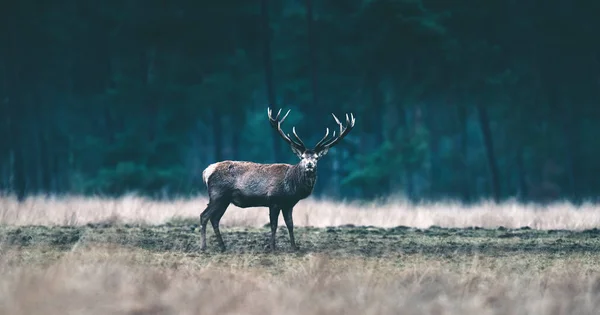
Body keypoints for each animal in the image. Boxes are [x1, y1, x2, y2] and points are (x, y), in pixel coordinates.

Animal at [199, 107, 354, 253]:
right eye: (302, 157)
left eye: (316, 158)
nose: (309, 165)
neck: (291, 186)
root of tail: (207, 171)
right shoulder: (274, 200)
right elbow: (274, 225)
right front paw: (272, 247)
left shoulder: (288, 204)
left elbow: (290, 224)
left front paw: (294, 247)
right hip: (218, 195)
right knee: (204, 216)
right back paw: (203, 247)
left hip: (224, 200)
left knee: (215, 219)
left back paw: (223, 246)